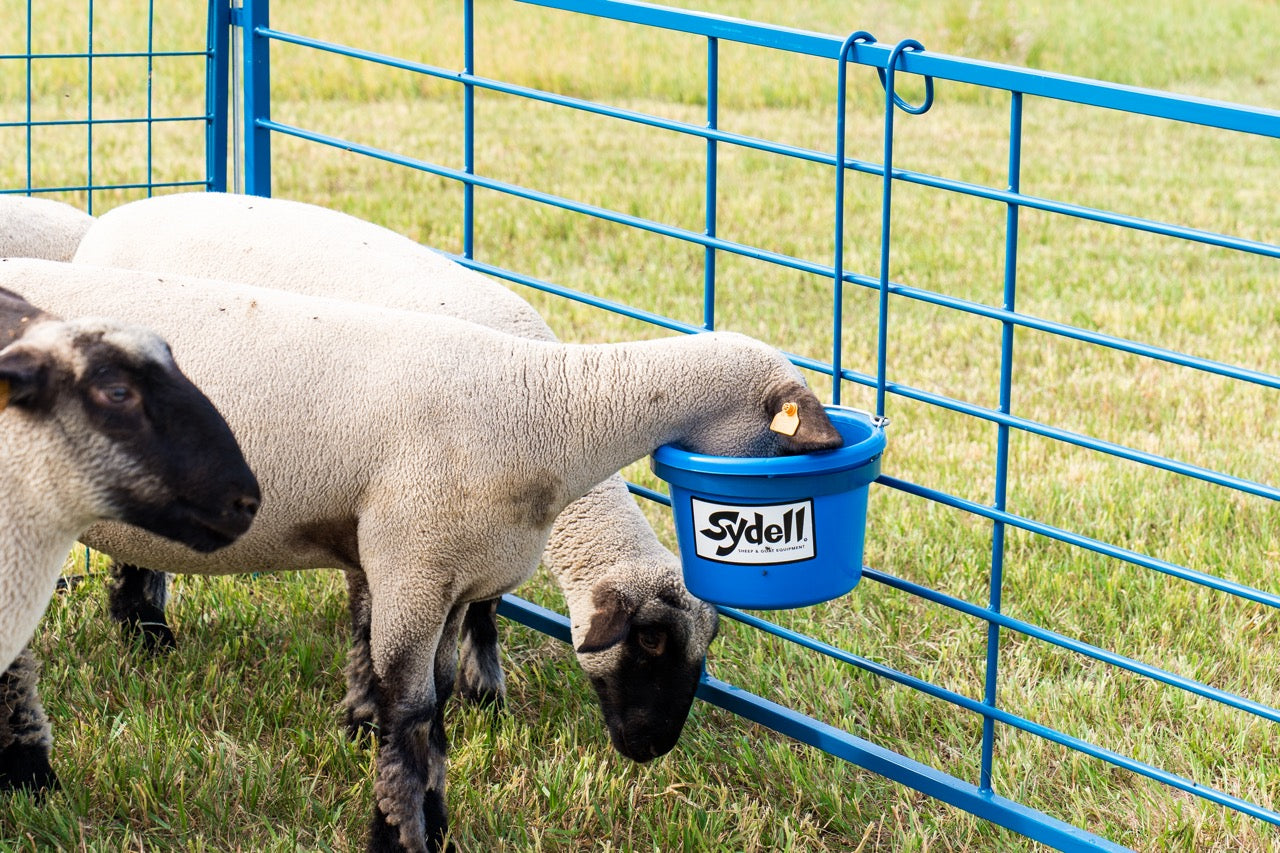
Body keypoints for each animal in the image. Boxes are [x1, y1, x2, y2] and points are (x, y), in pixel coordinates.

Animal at [72, 191, 718, 761]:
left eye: (706, 647)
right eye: (651, 640)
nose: (652, 748)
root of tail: (117, 217)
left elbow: (479, 607)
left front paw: (482, 695)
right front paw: (407, 710)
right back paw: (147, 633)